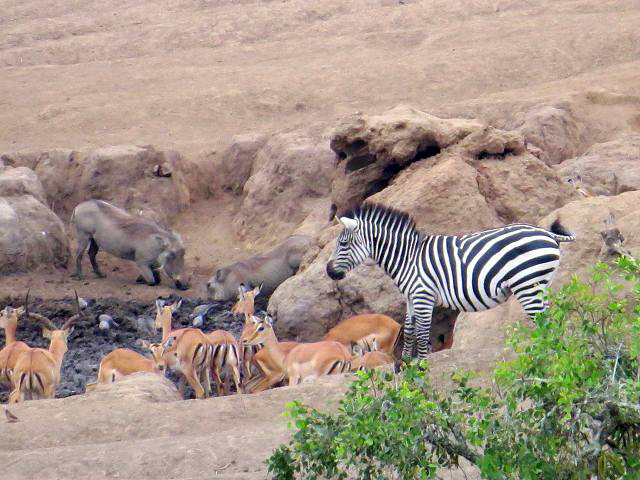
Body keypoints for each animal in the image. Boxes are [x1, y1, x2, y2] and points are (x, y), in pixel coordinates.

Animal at [326, 203, 575, 359]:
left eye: (343, 244)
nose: (328, 272)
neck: (408, 258)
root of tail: (548, 233)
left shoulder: (423, 297)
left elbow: (422, 333)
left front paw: (422, 368)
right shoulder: (411, 299)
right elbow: (409, 330)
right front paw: (405, 367)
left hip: (527, 285)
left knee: (544, 324)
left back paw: (545, 355)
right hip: (540, 284)